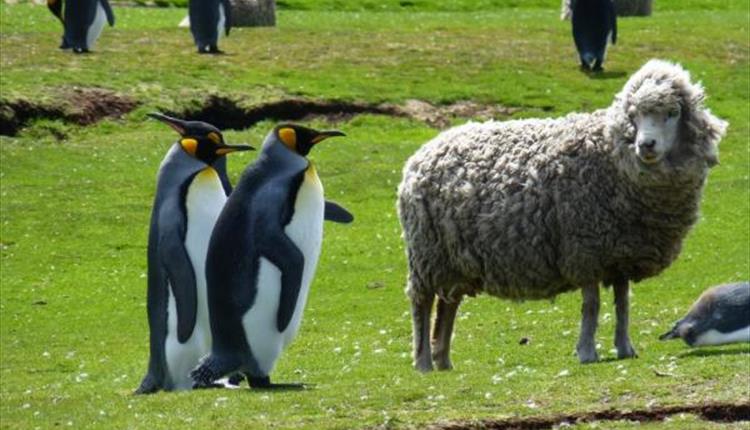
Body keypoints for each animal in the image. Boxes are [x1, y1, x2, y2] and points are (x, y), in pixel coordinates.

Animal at [397, 59, 727, 371]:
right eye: (633, 115)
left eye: (673, 112)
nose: (646, 145)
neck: (612, 158)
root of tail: (423, 152)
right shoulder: (585, 250)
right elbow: (592, 306)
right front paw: (587, 352)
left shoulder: (620, 253)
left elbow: (623, 304)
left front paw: (625, 348)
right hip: (426, 254)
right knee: (422, 304)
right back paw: (423, 362)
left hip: (452, 260)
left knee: (448, 305)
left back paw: (443, 361)